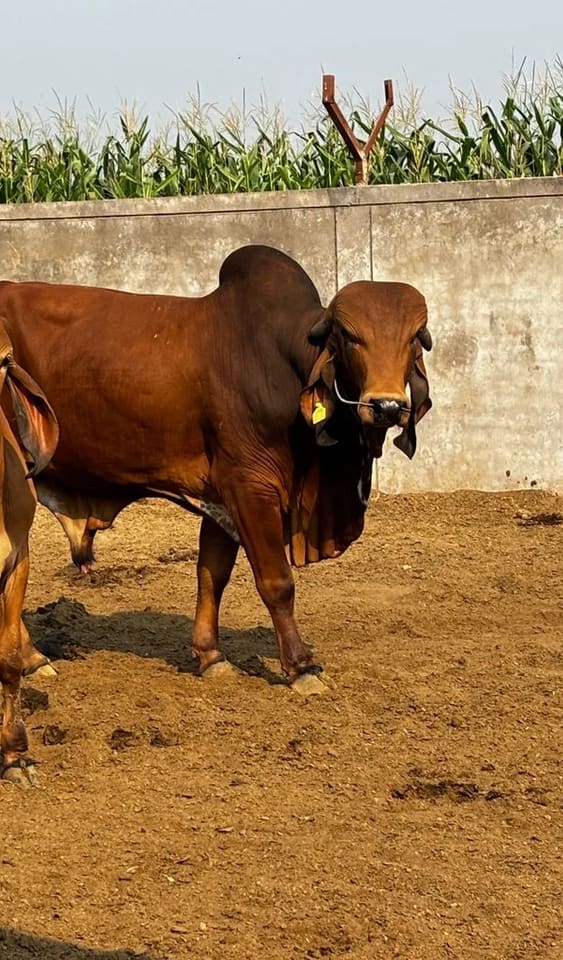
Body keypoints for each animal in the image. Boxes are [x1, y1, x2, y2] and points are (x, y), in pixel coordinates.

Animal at [0, 245, 431, 695]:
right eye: (349, 337)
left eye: (415, 336)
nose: (386, 406)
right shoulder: (249, 485)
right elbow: (276, 582)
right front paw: (301, 666)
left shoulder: (220, 494)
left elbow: (212, 573)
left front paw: (211, 656)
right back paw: (30, 658)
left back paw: (31, 658)